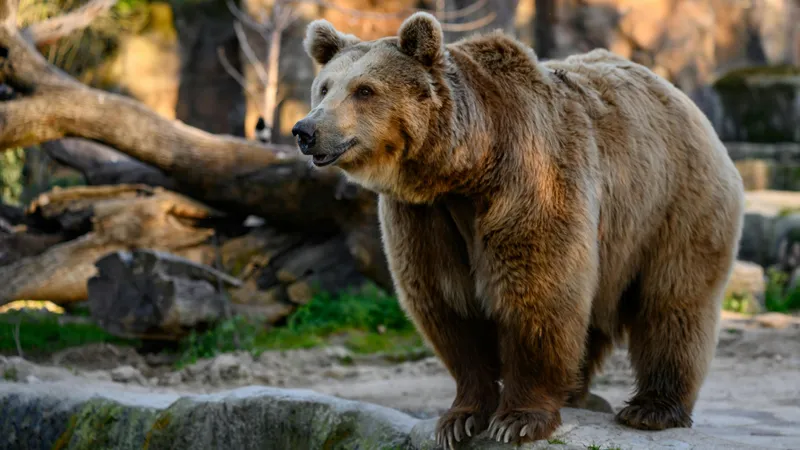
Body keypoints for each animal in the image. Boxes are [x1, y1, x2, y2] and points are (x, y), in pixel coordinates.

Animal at [293, 12, 745, 448]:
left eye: (364, 90)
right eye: (324, 87)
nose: (306, 130)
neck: (466, 168)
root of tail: (682, 98)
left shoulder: (530, 181)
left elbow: (537, 294)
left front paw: (517, 420)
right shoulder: (424, 216)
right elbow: (447, 303)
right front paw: (459, 419)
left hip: (672, 204)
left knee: (673, 302)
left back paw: (651, 409)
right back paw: (577, 392)